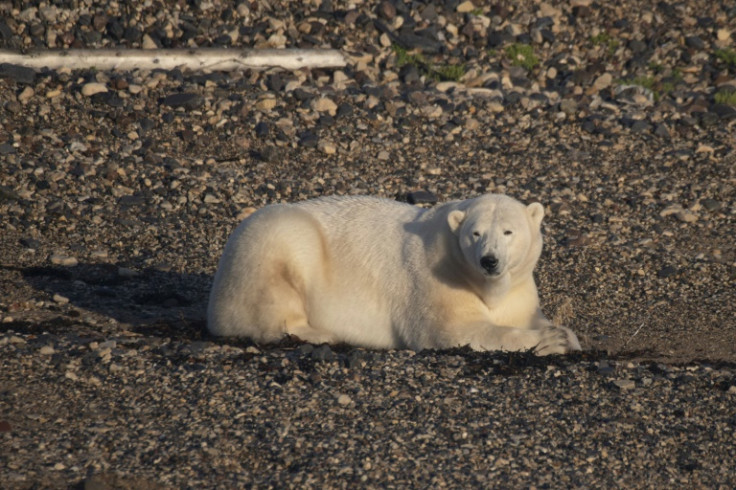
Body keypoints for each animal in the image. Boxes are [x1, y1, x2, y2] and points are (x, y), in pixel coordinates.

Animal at [207, 193, 580, 354]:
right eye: (475, 233)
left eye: (508, 232)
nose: (489, 261)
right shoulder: (436, 280)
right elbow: (452, 330)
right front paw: (549, 341)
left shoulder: (519, 288)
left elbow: (523, 314)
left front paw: (564, 335)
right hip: (271, 242)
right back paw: (321, 333)